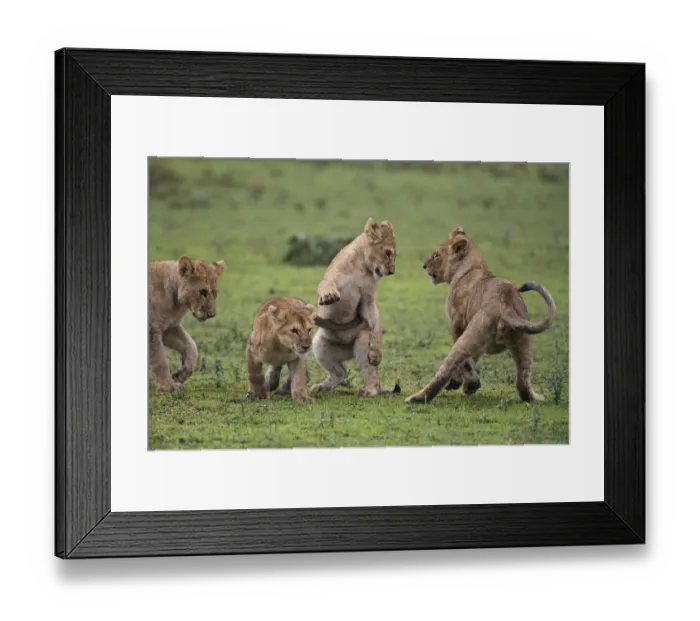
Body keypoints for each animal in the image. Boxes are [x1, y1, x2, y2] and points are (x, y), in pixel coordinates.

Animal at [149, 256, 225, 392]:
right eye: (203, 292)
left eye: (215, 292)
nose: (211, 315)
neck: (175, 302)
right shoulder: (152, 328)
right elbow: (159, 359)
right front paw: (167, 386)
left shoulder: (170, 327)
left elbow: (191, 346)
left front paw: (180, 375)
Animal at [310, 217, 401, 397]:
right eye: (388, 253)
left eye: (395, 256)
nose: (392, 272)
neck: (361, 267)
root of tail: (346, 350)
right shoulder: (329, 278)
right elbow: (326, 285)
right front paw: (329, 296)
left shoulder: (368, 300)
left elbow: (375, 323)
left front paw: (377, 354)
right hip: (319, 345)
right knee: (340, 373)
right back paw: (321, 388)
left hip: (362, 342)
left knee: (370, 375)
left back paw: (368, 390)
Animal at [405, 226, 556, 405]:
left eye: (436, 255)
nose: (424, 265)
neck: (472, 266)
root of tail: (504, 304)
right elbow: (473, 358)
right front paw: (463, 382)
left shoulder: (457, 323)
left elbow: (467, 361)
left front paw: (468, 382)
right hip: (523, 341)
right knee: (523, 382)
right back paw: (535, 397)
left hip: (473, 332)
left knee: (446, 368)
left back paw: (417, 398)